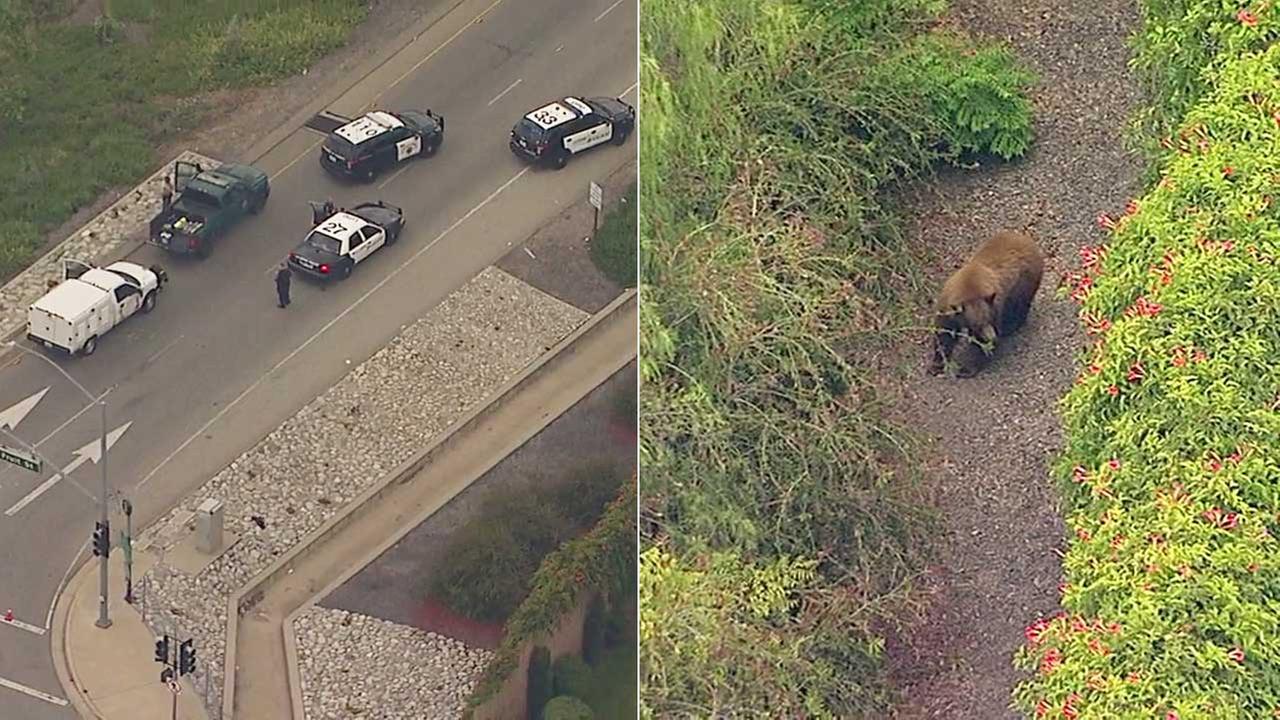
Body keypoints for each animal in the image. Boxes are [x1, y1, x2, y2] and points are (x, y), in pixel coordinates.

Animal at [931, 229, 1039, 379]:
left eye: (989, 318)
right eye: (977, 324)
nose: (991, 337)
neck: (968, 291)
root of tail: (1027, 239)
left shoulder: (995, 306)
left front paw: (967, 368)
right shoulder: (947, 310)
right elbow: (944, 334)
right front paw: (936, 364)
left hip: (1023, 286)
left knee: (1019, 307)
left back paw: (1010, 327)